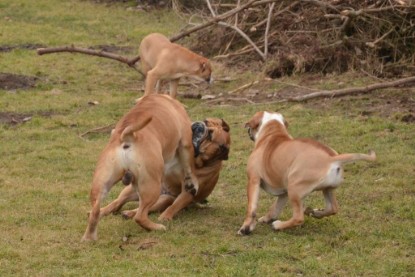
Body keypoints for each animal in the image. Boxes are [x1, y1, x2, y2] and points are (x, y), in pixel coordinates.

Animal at [82, 93, 199, 239]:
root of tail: (127, 137)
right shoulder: (186, 143)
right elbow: (189, 166)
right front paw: (192, 183)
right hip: (151, 185)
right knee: (140, 216)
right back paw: (157, 227)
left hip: (102, 180)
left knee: (95, 211)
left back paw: (89, 237)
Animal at [99, 117, 232, 219]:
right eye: (206, 121)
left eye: (210, 136)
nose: (200, 125)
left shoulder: (187, 192)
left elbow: (174, 206)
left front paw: (165, 217)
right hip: (129, 191)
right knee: (118, 202)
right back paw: (104, 210)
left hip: (164, 199)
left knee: (145, 209)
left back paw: (129, 213)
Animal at [237, 111, 376, 234]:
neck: (273, 132)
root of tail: (332, 158)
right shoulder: (284, 192)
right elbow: (275, 208)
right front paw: (266, 219)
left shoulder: (253, 180)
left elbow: (252, 209)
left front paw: (246, 228)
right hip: (327, 189)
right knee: (333, 208)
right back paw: (314, 212)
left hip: (294, 189)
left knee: (298, 218)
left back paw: (279, 225)